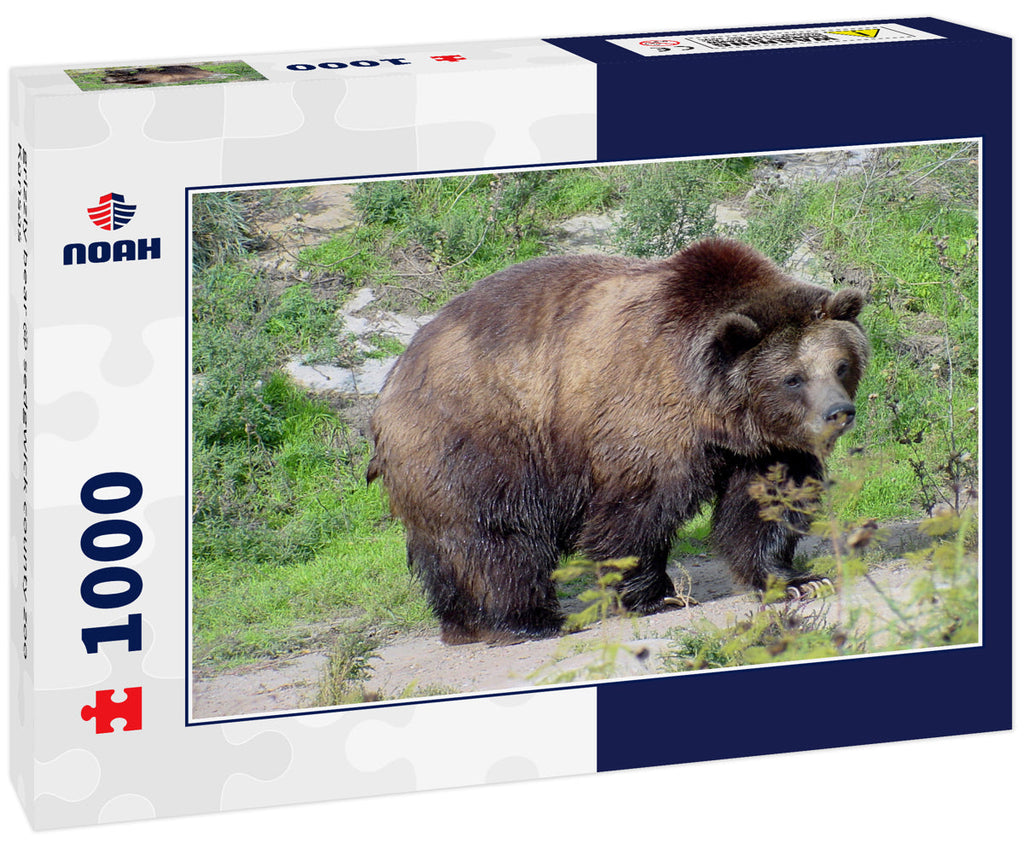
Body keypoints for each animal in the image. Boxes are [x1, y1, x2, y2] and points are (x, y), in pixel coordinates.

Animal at [367, 237, 869, 645]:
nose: (838, 413)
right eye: (793, 377)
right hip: (480, 437)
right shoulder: (642, 416)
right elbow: (636, 512)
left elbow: (768, 504)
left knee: (445, 548)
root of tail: (390, 386)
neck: (716, 409)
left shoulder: (767, 444)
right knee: (497, 536)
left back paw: (463, 624)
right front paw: (655, 596)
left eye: (841, 364)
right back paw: (530, 620)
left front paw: (799, 580)